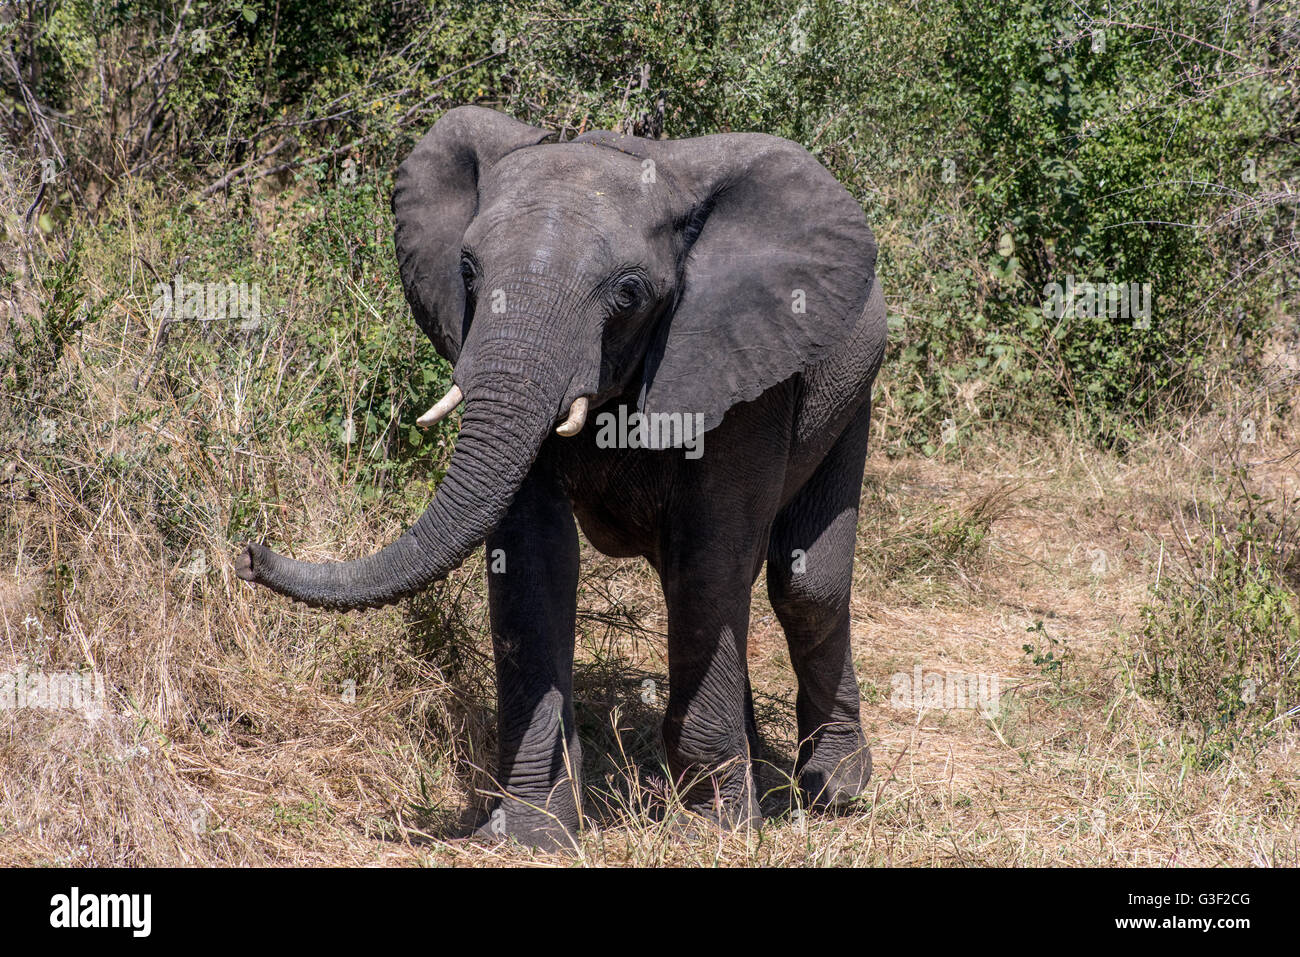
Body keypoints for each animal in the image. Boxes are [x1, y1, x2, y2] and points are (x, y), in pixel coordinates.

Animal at [233, 106, 889, 852]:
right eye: (467, 269)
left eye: (629, 294)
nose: (248, 553)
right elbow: (536, 559)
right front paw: (531, 834)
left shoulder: (743, 363)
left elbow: (710, 558)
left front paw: (712, 833)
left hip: (853, 389)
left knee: (802, 584)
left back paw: (833, 789)